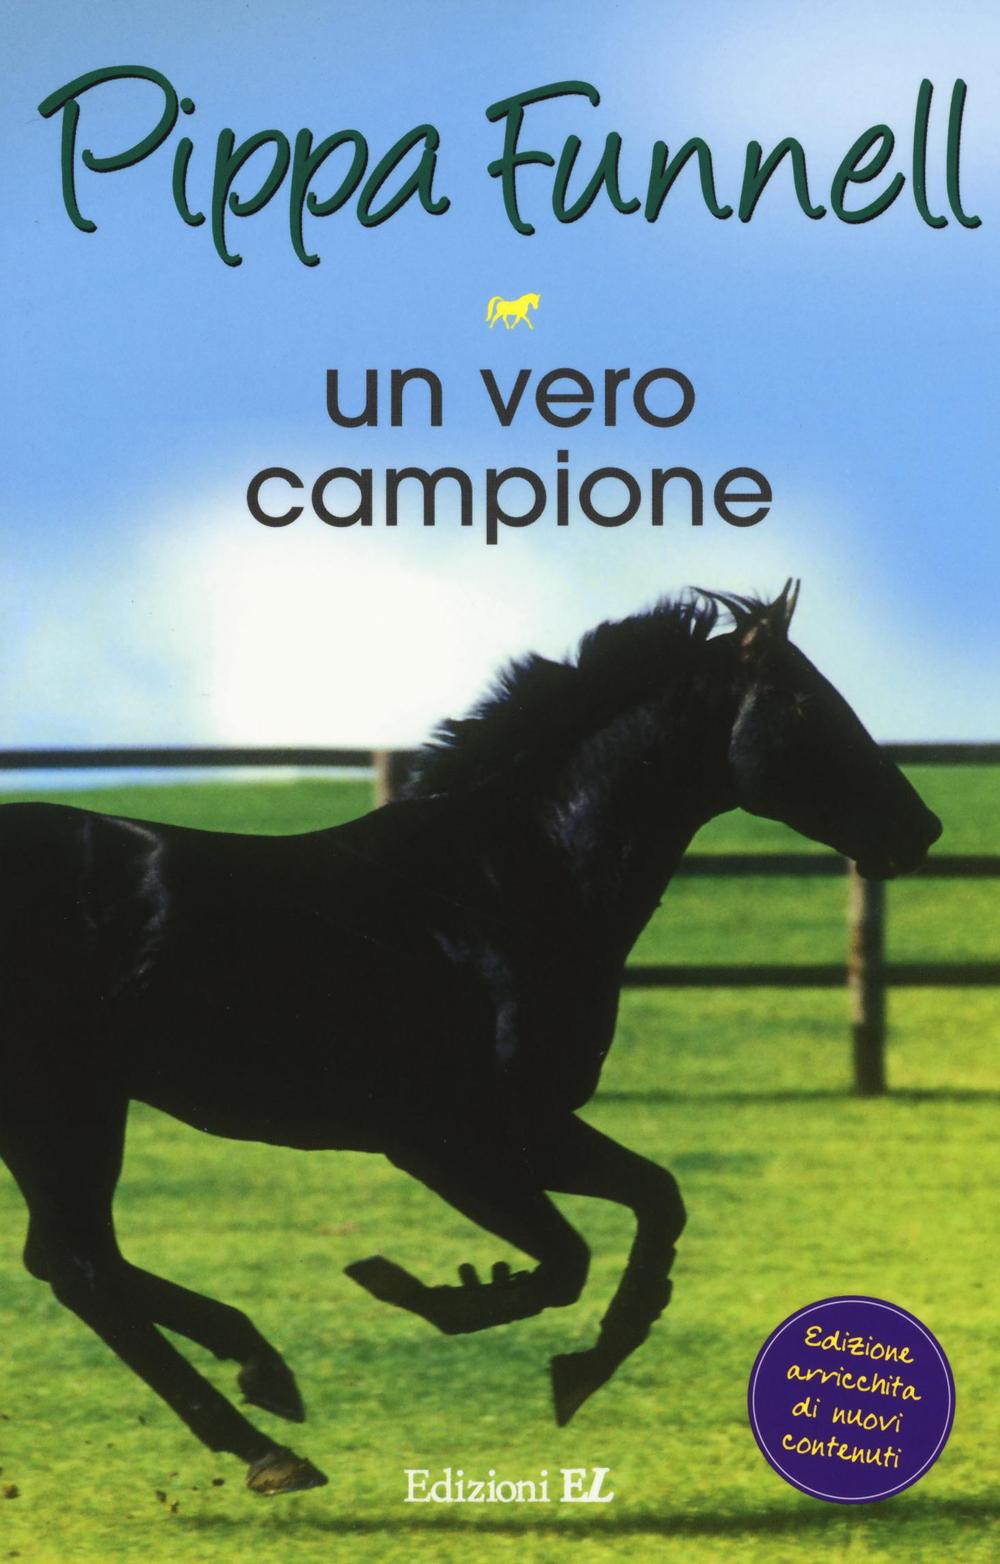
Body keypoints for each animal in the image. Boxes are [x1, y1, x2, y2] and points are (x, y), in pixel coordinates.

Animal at [0, 582, 941, 1495]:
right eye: (805, 703)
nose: (920, 829)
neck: (494, 889)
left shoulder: (535, 1126)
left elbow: (656, 1200)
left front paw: (580, 1369)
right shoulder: (442, 1141)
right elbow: (564, 1259)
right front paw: (433, 1292)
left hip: (68, 1112)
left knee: (71, 1260)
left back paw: (262, 1377)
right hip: (64, 1104)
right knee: (81, 1267)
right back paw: (268, 1442)